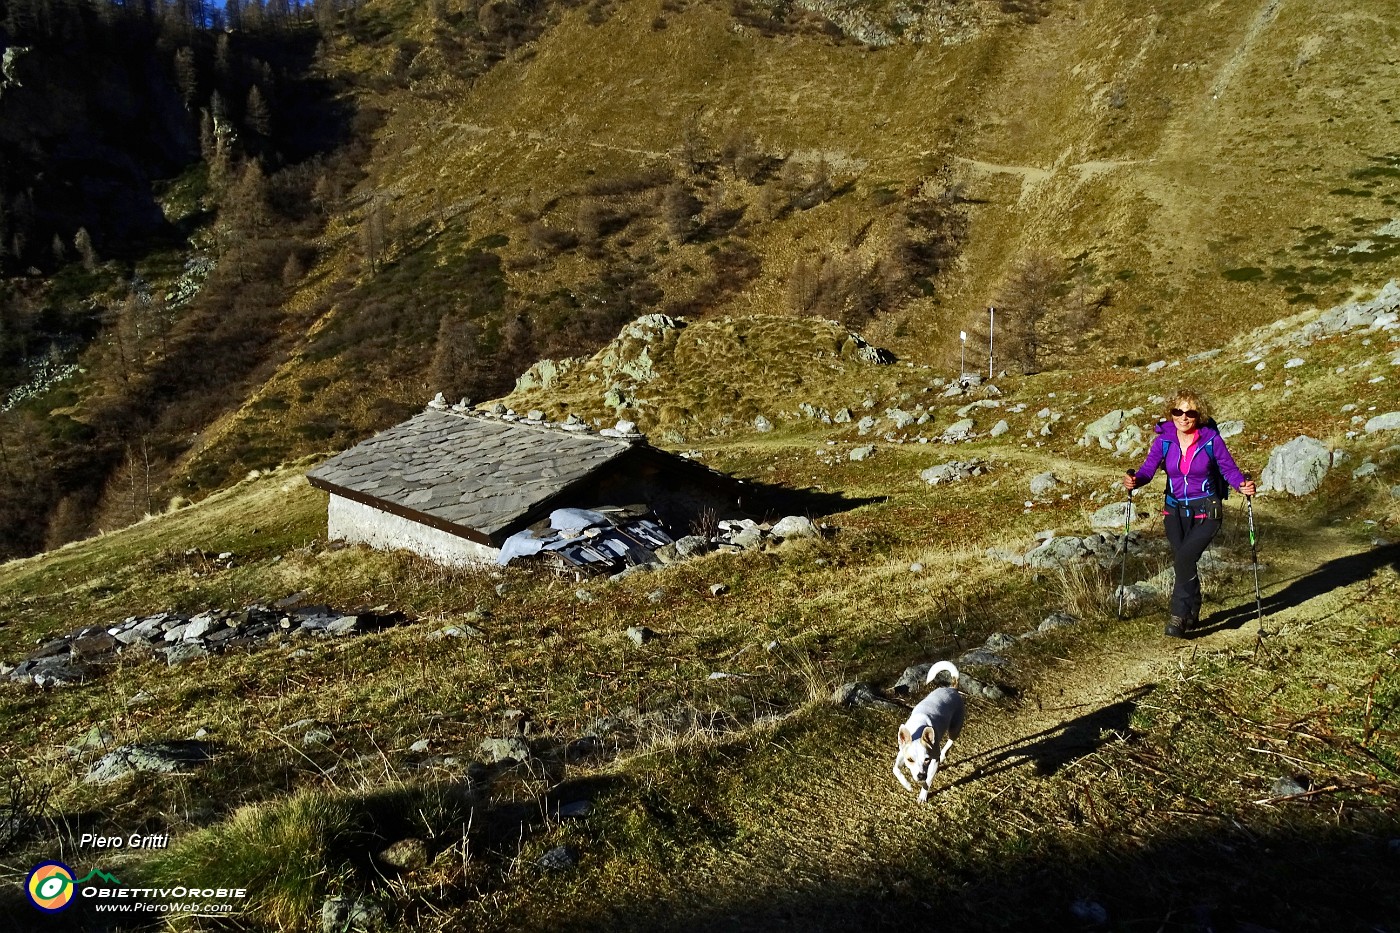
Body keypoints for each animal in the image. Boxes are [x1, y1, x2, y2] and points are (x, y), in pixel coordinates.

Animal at [890, 658, 968, 801]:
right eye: (910, 760)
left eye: (926, 759)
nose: (920, 775)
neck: (918, 728)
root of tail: (952, 689)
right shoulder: (902, 755)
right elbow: (896, 770)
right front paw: (907, 785)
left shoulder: (933, 762)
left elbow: (928, 781)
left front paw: (922, 796)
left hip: (955, 728)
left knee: (950, 742)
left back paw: (943, 754)